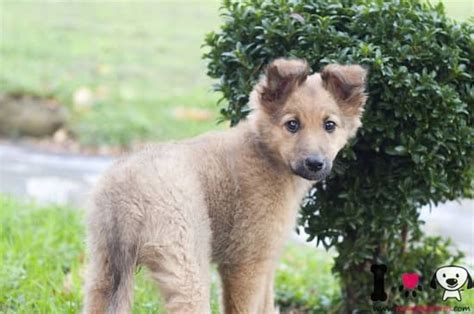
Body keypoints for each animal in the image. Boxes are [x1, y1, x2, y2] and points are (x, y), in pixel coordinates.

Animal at [83, 57, 368, 312]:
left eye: (329, 125)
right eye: (292, 125)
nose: (315, 163)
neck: (265, 154)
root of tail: (127, 193)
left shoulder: (266, 262)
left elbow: (267, 307)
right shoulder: (245, 263)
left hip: (102, 270)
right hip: (187, 264)